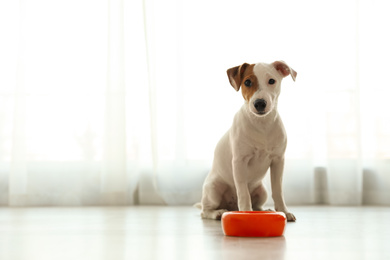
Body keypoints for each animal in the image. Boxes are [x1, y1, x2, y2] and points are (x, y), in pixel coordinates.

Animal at [197, 60, 298, 221]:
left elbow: (278, 190)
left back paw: (266, 211)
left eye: (272, 81)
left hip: (262, 191)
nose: (260, 103)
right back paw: (217, 213)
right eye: (247, 82)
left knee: (257, 206)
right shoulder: (239, 161)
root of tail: (231, 206)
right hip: (213, 189)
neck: (262, 124)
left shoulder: (278, 161)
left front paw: (284, 211)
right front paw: (245, 213)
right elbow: (243, 193)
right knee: (205, 210)